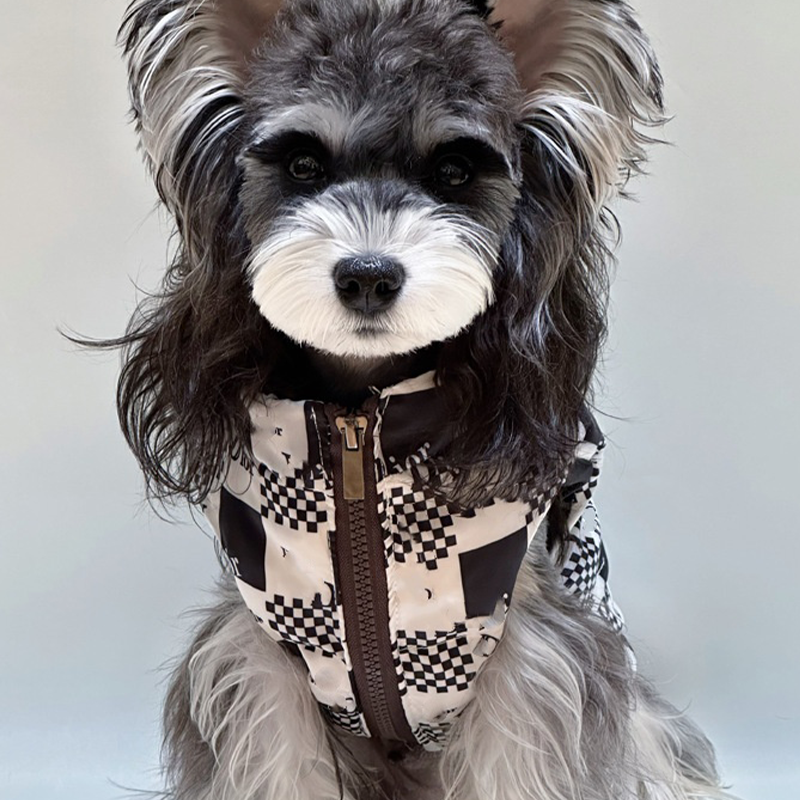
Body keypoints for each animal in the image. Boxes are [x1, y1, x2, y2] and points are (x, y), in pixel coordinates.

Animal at [111, 0, 730, 797]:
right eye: (304, 165)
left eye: (454, 171)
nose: (368, 276)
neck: (357, 418)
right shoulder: (258, 655)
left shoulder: (531, 649)